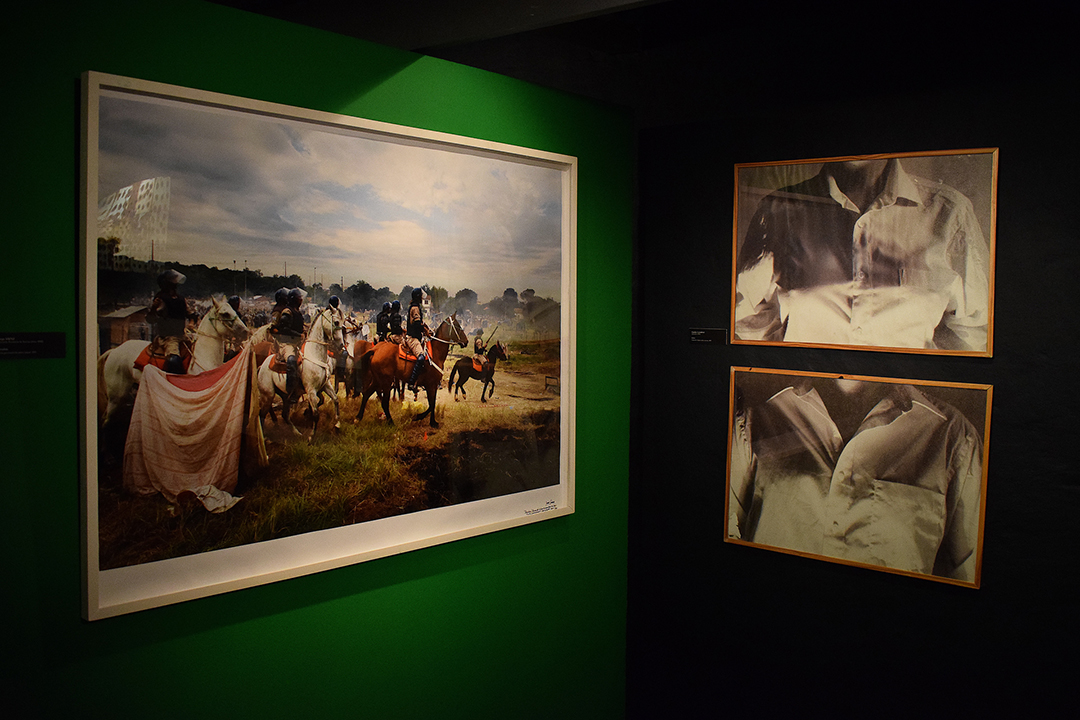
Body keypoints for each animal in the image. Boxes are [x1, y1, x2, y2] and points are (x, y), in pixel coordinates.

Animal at [96, 295, 248, 431]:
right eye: (225, 313)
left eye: (235, 311)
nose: (246, 332)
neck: (203, 357)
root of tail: (114, 350)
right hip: (116, 396)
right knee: (106, 420)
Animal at [255, 306, 343, 442]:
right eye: (337, 322)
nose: (341, 345)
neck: (314, 354)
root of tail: (262, 367)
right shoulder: (311, 389)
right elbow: (316, 413)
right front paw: (311, 437)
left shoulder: (325, 385)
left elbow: (336, 400)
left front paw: (337, 425)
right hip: (268, 395)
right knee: (262, 414)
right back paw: (264, 438)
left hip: (285, 396)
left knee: (284, 415)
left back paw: (296, 433)